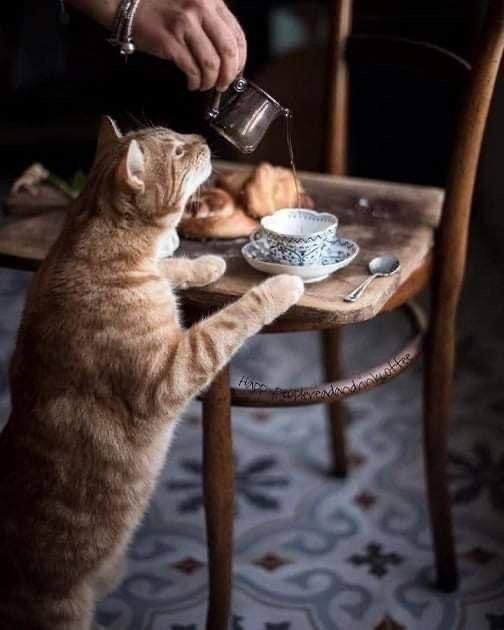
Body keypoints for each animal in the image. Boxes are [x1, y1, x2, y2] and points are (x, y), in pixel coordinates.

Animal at [0, 118, 304, 630]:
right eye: (179, 152)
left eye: (179, 135)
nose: (204, 141)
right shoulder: (174, 371)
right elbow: (233, 318)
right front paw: (281, 284)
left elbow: (171, 267)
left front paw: (203, 263)